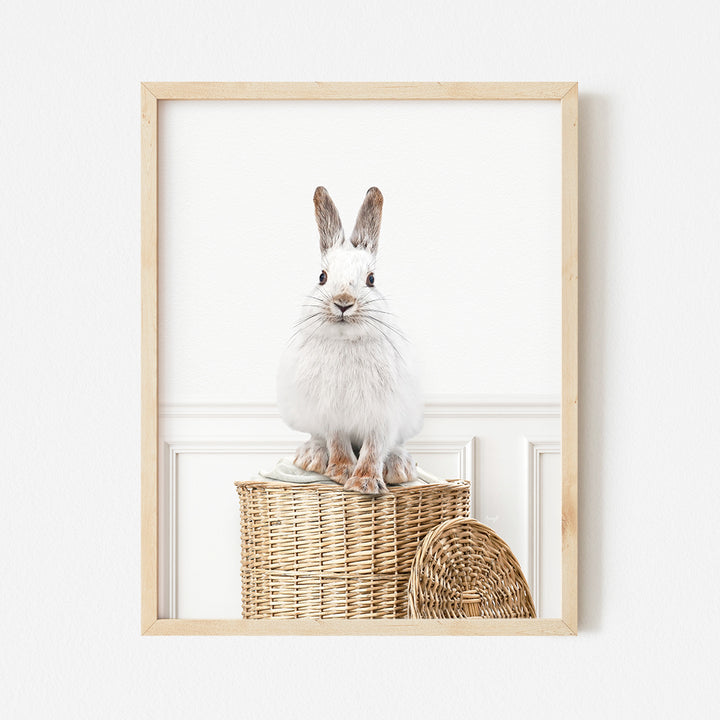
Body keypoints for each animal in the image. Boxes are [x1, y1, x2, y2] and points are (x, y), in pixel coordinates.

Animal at [276, 186, 422, 496]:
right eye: (322, 277)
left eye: (371, 279)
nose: (343, 302)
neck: (345, 342)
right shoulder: (330, 410)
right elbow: (337, 441)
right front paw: (342, 472)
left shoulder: (383, 413)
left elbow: (374, 447)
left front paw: (365, 483)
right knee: (317, 437)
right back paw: (311, 457)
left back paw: (399, 467)